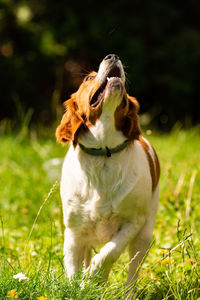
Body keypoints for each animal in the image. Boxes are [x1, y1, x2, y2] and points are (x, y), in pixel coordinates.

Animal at [55, 54, 159, 288]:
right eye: (89, 78)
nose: (113, 56)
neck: (104, 152)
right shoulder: (74, 230)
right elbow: (72, 270)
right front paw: (77, 287)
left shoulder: (133, 221)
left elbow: (108, 253)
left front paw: (95, 277)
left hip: (144, 236)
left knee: (132, 274)